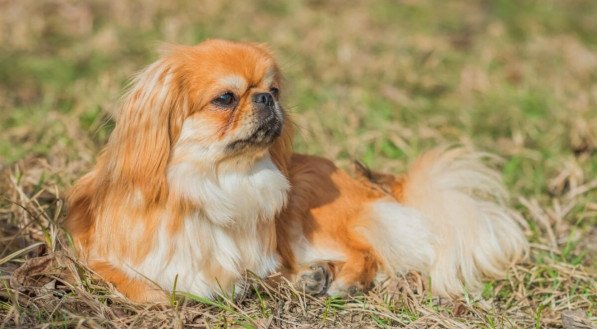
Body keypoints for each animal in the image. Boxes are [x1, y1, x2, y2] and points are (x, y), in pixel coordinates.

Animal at [65, 37, 528, 300]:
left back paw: (339, 281)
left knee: (368, 252)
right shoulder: (102, 256)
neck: (217, 182)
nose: (266, 98)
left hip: (305, 204)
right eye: (225, 98)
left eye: (273, 89)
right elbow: (149, 289)